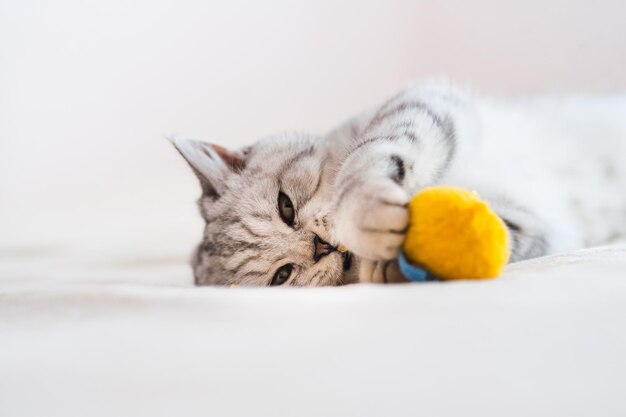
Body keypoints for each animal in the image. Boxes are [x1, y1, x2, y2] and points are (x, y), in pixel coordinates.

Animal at [171, 80, 624, 286]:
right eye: (281, 276)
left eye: (286, 206)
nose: (319, 247)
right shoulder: (540, 223)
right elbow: (504, 232)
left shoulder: (422, 103)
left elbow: (369, 159)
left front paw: (364, 211)